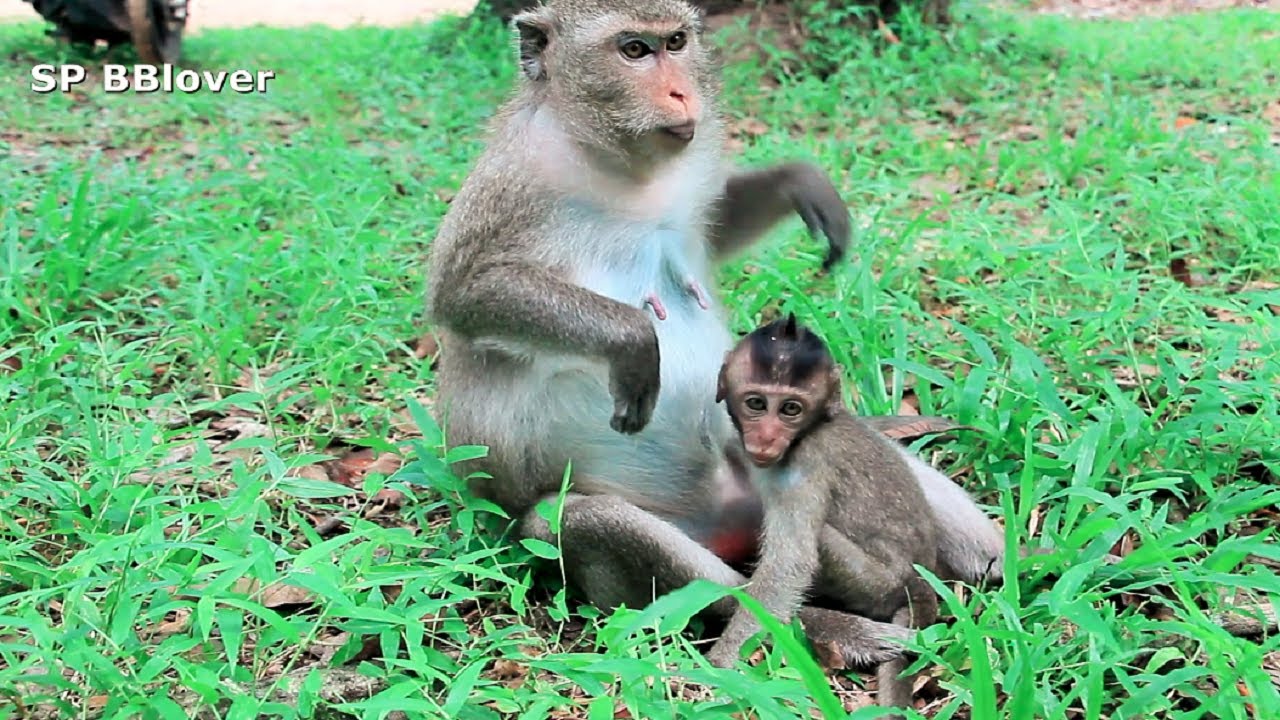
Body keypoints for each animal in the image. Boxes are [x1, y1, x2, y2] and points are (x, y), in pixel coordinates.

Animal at [705, 314, 940, 708]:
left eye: (790, 409)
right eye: (756, 403)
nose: (766, 437)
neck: (810, 431)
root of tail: (920, 579)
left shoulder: (804, 466)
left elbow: (791, 563)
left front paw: (719, 667)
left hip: (877, 584)